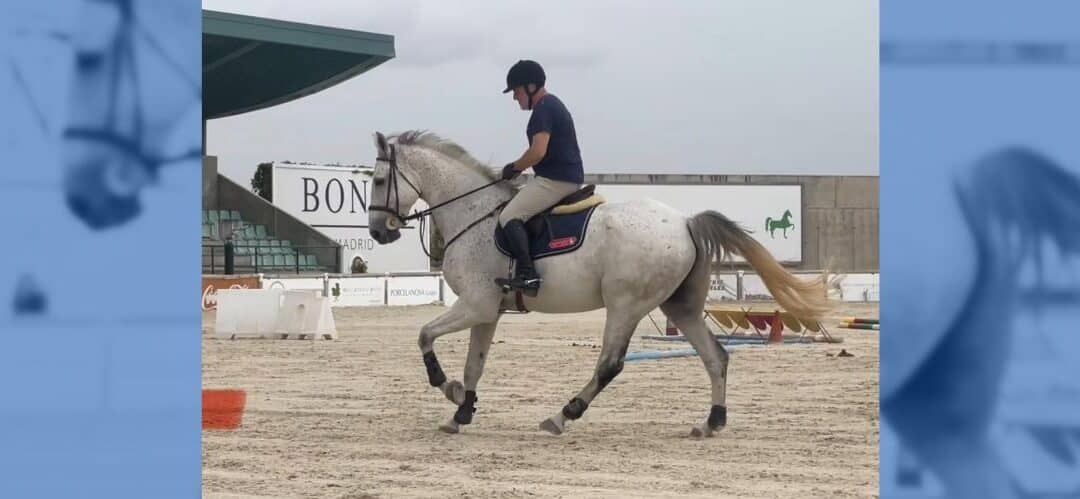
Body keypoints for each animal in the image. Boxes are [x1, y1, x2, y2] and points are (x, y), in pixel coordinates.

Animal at [367, 131, 829, 436]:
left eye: (376, 181)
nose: (377, 232)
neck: (473, 213)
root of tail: (684, 221)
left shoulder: (476, 304)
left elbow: (425, 335)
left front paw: (447, 388)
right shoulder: (488, 311)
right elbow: (474, 363)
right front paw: (461, 412)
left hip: (625, 304)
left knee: (610, 364)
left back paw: (563, 414)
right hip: (679, 307)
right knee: (715, 357)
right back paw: (712, 422)